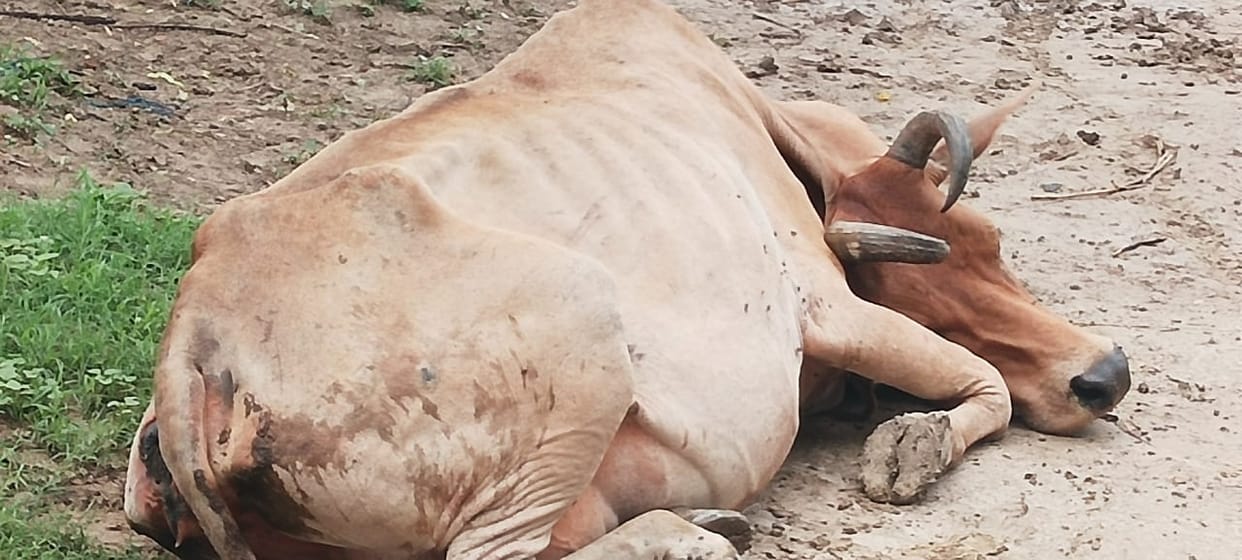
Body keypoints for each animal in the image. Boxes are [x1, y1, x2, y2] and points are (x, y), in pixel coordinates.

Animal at [122, 1, 1131, 558]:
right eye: (910, 274)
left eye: (992, 241)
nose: (1106, 374)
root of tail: (198, 335)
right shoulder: (829, 309)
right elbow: (986, 384)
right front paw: (909, 449)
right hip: (583, 325)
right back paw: (690, 540)